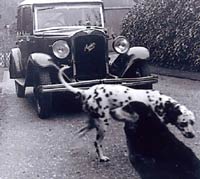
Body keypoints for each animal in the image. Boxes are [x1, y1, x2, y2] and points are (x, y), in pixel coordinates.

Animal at [58, 66, 195, 162]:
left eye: (192, 122)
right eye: (184, 123)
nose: (193, 135)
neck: (160, 103)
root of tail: (87, 92)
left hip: (95, 122)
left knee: (84, 131)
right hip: (103, 124)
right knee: (97, 143)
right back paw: (102, 157)